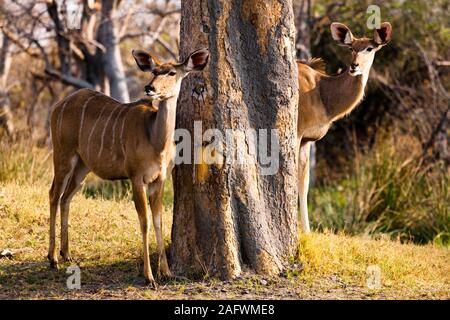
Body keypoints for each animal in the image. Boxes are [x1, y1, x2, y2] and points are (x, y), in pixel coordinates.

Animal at [48, 47, 210, 284]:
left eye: (172, 72)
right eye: (154, 71)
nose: (150, 88)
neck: (155, 140)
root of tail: (57, 106)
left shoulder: (160, 179)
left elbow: (159, 220)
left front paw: (166, 272)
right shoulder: (136, 178)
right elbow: (145, 222)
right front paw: (149, 276)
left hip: (82, 166)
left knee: (66, 197)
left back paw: (66, 253)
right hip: (63, 155)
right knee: (54, 194)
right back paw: (52, 259)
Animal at [298, 21, 392, 232]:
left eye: (369, 48)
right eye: (351, 48)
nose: (353, 66)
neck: (321, 93)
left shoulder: (307, 140)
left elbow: (304, 184)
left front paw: (306, 233)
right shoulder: (297, 134)